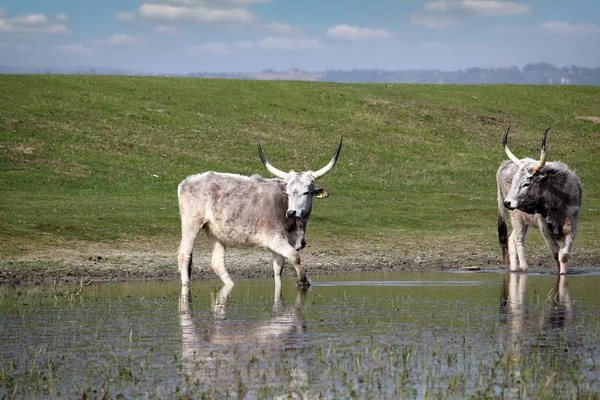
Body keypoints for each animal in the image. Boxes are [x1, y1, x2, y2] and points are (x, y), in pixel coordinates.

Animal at [177, 138, 342, 288]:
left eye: (306, 192)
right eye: (287, 193)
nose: (291, 212)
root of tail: (188, 180)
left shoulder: (280, 244)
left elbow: (278, 269)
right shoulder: (274, 239)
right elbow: (295, 256)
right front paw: (303, 281)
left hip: (215, 232)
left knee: (218, 262)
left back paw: (230, 285)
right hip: (191, 223)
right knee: (184, 254)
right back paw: (186, 285)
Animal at [496, 128, 580, 276]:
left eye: (526, 183)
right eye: (514, 180)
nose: (507, 202)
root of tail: (504, 165)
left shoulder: (572, 225)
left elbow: (563, 255)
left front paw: (562, 273)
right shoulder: (545, 228)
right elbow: (556, 253)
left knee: (511, 238)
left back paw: (514, 268)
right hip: (516, 217)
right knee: (517, 239)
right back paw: (523, 267)